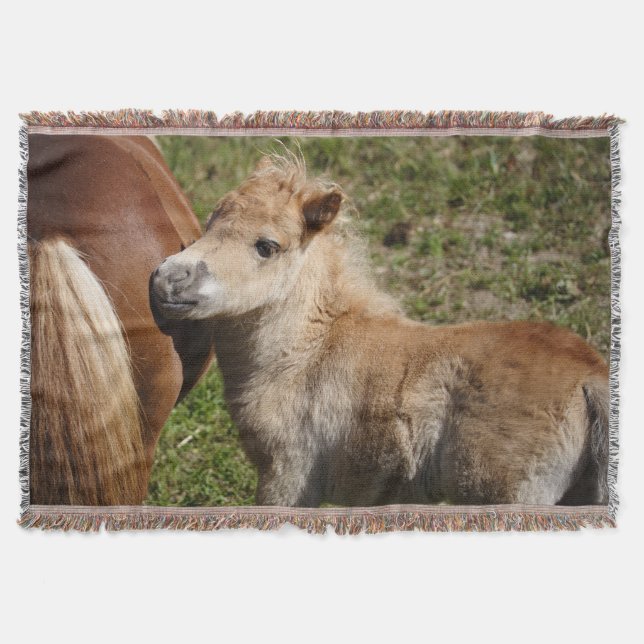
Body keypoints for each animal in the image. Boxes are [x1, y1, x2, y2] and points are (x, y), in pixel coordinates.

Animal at [151, 154, 609, 508]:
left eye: (267, 246)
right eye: (210, 222)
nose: (166, 280)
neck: (303, 356)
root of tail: (591, 377)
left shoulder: (288, 474)